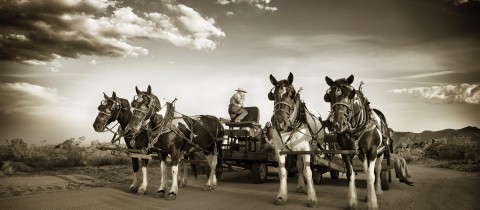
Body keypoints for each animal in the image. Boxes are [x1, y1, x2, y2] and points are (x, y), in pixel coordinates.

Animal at [268, 72, 324, 207]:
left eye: (291, 95)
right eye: (274, 96)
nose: (280, 123)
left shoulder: (306, 149)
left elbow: (308, 171)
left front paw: (312, 197)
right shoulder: (280, 150)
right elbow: (283, 172)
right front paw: (281, 196)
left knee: (307, 168)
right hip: (296, 152)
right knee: (299, 166)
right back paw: (300, 185)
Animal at [322, 75, 390, 210]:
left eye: (350, 95)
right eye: (329, 97)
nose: (338, 124)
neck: (356, 128)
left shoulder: (372, 151)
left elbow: (371, 176)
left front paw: (372, 202)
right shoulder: (345, 152)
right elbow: (351, 174)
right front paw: (352, 200)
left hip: (380, 152)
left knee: (377, 170)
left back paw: (377, 190)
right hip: (362, 154)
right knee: (366, 169)